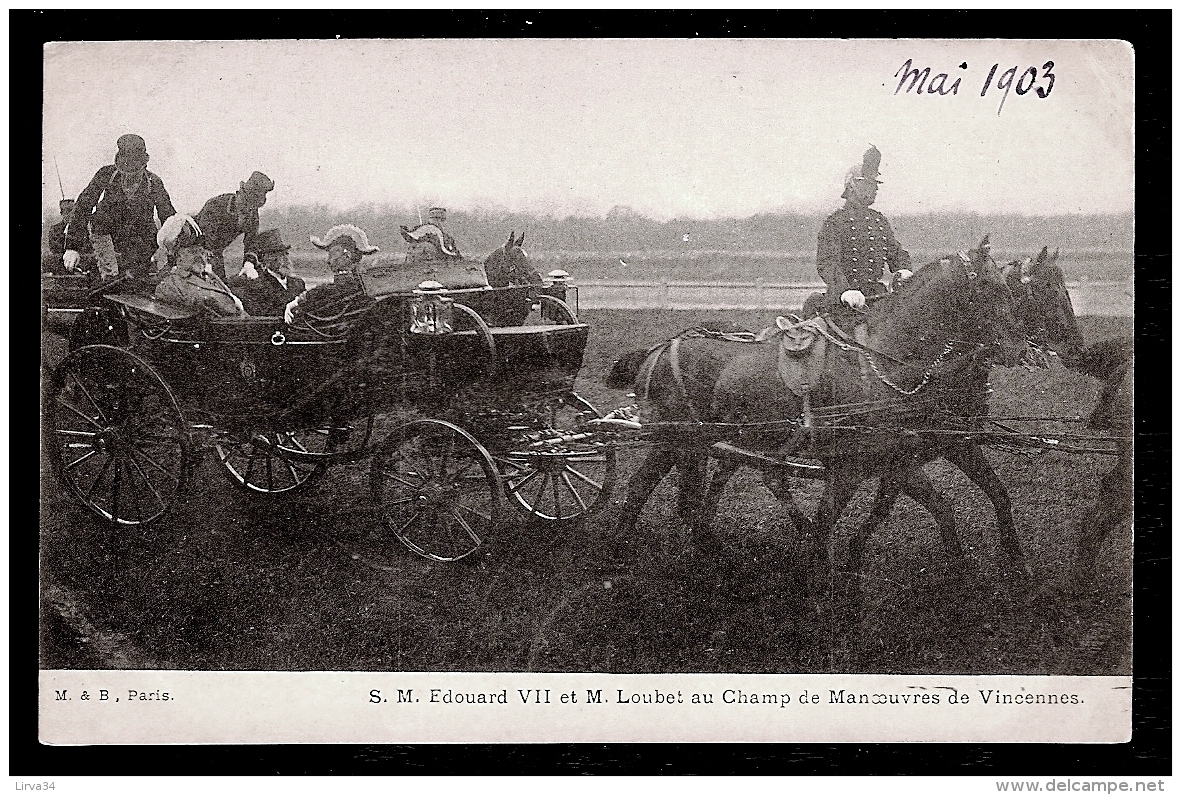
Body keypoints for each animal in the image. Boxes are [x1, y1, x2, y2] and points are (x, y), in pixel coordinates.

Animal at [609, 236, 1025, 583]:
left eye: (1013, 290)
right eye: (989, 289)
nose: (1019, 349)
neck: (885, 362)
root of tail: (659, 348)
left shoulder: (902, 456)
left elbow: (961, 499)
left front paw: (999, 563)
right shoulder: (855, 464)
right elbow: (830, 519)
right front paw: (819, 579)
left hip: (707, 444)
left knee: (683, 495)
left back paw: (700, 552)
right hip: (679, 441)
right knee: (654, 490)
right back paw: (622, 555)